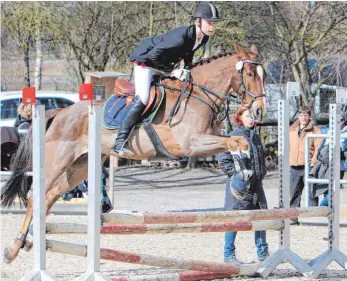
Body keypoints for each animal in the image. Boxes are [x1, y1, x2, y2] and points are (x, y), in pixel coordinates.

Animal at [0, 42, 266, 262]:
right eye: (250, 74)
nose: (259, 111)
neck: (198, 96)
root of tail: (59, 112)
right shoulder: (191, 144)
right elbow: (235, 143)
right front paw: (241, 182)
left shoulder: (210, 139)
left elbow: (239, 141)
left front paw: (243, 180)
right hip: (58, 160)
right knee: (35, 196)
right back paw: (14, 248)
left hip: (80, 166)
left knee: (49, 197)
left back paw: (26, 242)